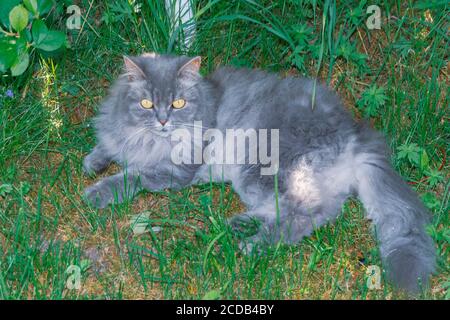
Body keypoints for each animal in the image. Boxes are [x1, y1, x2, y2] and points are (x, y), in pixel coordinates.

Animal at [81, 53, 436, 296]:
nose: (164, 121)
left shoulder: (175, 170)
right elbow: (107, 147)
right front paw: (92, 162)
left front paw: (97, 192)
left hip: (261, 170)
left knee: (307, 213)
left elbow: (132, 177)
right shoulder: (122, 138)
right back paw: (238, 224)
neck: (148, 139)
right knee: (311, 209)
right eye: (146, 103)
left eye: (178, 103)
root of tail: (354, 131)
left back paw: (254, 243)